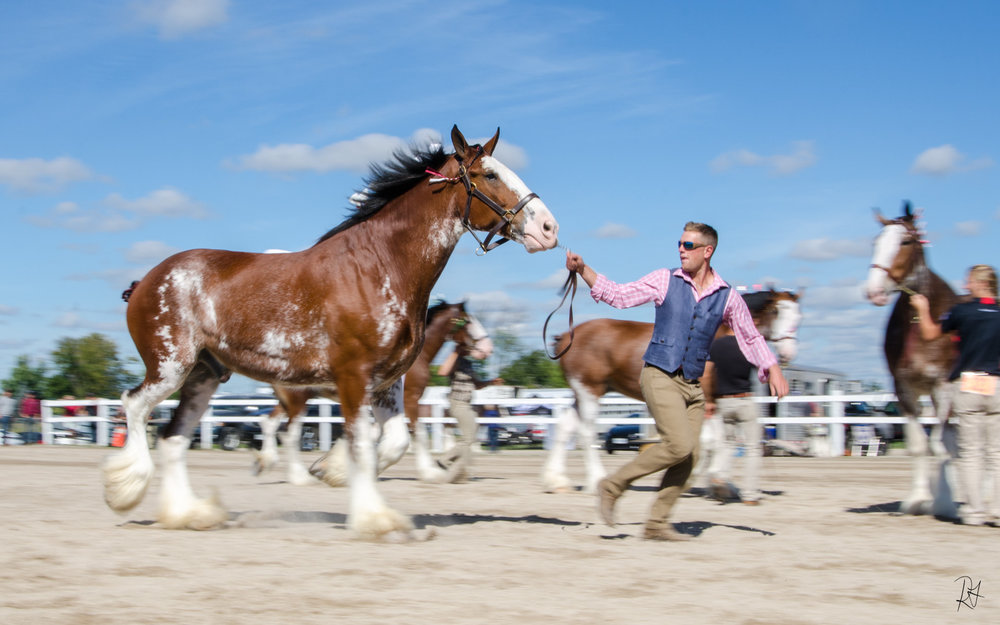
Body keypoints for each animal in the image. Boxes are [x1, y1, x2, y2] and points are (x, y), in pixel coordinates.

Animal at [254, 300, 492, 486]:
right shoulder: (410, 399)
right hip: (298, 401)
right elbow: (417, 433)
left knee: (270, 424)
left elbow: (375, 433)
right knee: (291, 433)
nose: (487, 348)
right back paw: (299, 477)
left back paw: (264, 463)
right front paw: (430, 472)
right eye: (467, 320)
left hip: (288, 402)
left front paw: (331, 464)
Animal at [544, 288, 800, 492]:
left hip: (584, 393)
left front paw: (717, 481)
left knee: (566, 426)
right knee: (586, 432)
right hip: (590, 391)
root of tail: (565, 337)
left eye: (798, 315)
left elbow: (719, 440)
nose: (788, 353)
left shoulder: (714, 402)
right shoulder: (707, 400)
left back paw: (557, 481)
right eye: (776, 311)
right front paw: (699, 479)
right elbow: (710, 441)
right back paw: (595, 480)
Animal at [860, 202, 960, 516]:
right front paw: (917, 499)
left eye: (905, 241)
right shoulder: (904, 389)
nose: (874, 291)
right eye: (875, 242)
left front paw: (943, 501)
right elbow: (919, 446)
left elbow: (940, 444)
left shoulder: (942, 388)